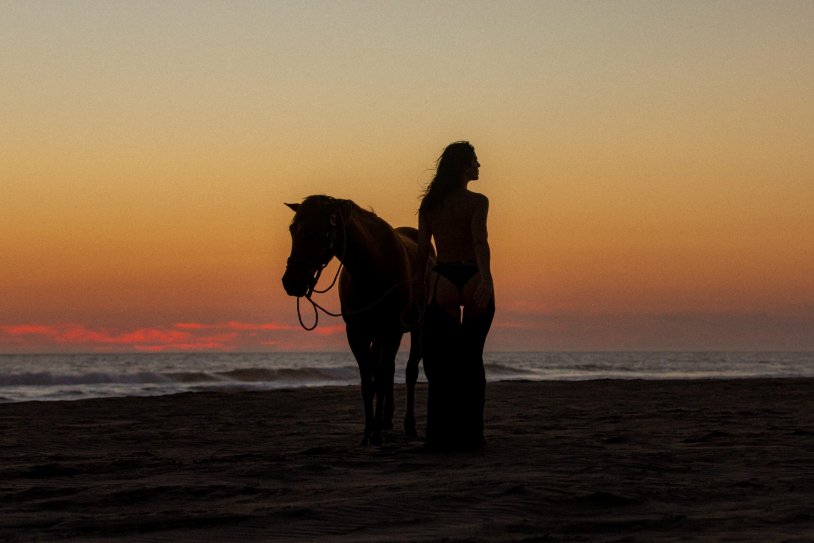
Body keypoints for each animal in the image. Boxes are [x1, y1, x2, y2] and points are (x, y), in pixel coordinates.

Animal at [282, 195, 430, 445]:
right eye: (293, 229)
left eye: (320, 232)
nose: (292, 281)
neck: (372, 266)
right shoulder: (357, 333)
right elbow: (368, 382)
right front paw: (368, 433)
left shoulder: (391, 331)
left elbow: (381, 378)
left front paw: (377, 435)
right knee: (387, 370)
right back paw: (386, 420)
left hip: (413, 329)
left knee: (409, 372)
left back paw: (408, 425)